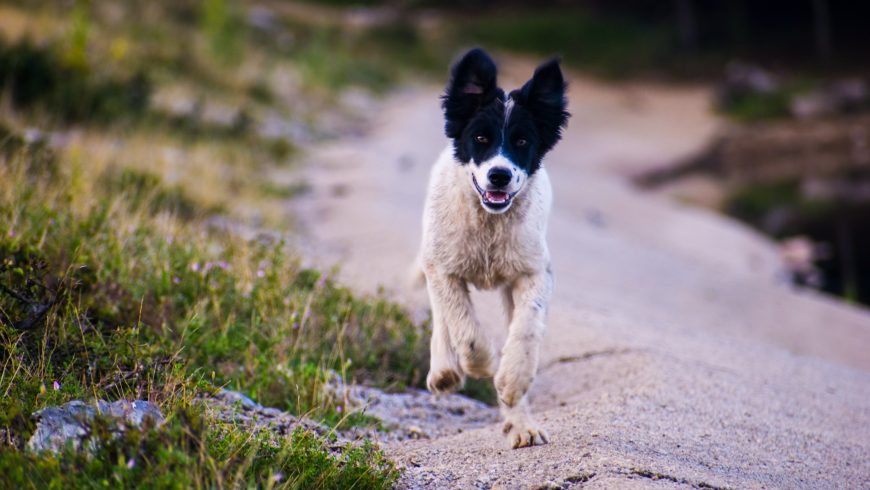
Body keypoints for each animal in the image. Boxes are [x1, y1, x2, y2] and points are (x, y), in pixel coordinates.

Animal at [418, 48, 568, 448]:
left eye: (522, 142)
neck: (489, 225)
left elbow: (527, 327)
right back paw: (445, 369)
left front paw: (512, 382)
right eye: (480, 137)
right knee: (442, 316)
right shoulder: (442, 268)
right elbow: (462, 324)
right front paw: (480, 363)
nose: (499, 176)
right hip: (432, 253)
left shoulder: (534, 272)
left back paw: (521, 424)